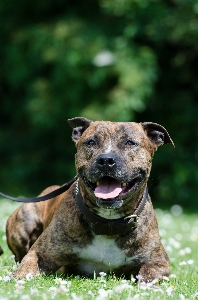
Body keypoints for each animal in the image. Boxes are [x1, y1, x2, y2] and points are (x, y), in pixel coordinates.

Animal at [6, 117, 173, 282]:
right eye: (91, 142)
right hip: (24, 223)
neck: (108, 224)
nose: (106, 160)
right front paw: (16, 277)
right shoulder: (41, 253)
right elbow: (27, 266)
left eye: (129, 143)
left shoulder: (159, 262)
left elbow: (148, 273)